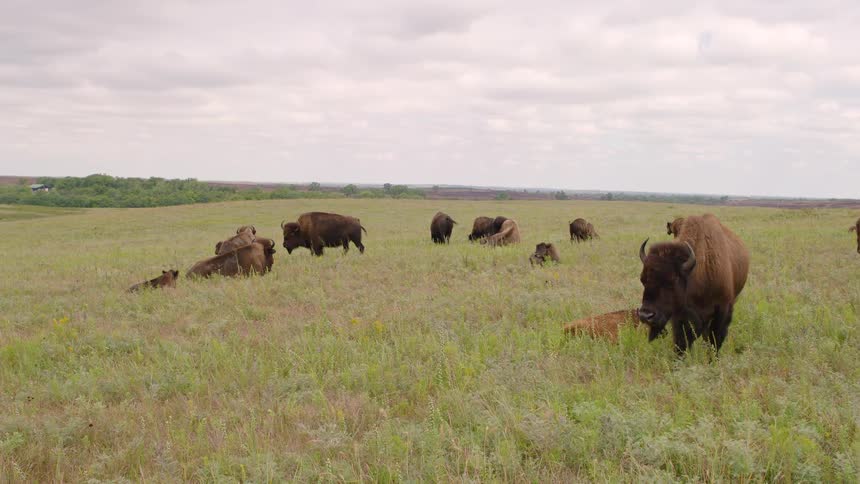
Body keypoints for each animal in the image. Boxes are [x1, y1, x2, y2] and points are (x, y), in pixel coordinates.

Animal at [637, 213, 750, 355]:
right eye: (642, 279)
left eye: (673, 280)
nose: (645, 316)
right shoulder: (681, 316)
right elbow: (681, 342)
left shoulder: (723, 310)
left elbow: (715, 340)